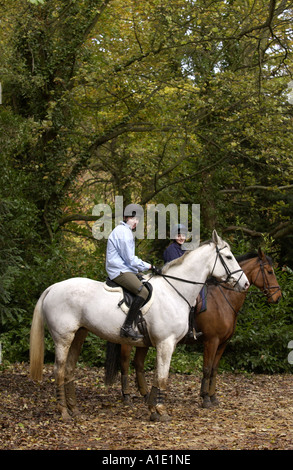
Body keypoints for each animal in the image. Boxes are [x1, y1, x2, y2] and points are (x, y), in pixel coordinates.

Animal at [29, 231, 249, 422]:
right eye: (228, 257)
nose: (245, 283)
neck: (174, 291)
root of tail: (52, 288)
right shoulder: (167, 343)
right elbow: (163, 378)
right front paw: (161, 411)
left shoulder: (163, 344)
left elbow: (158, 377)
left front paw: (153, 409)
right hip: (63, 338)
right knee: (59, 371)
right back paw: (64, 412)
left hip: (79, 335)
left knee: (69, 369)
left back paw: (75, 410)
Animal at [105, 250, 280, 408]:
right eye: (269, 271)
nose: (277, 296)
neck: (223, 300)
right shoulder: (211, 341)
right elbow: (207, 369)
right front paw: (206, 398)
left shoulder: (223, 343)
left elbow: (214, 369)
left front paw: (213, 397)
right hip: (127, 341)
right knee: (125, 364)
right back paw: (127, 396)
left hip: (145, 341)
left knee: (139, 364)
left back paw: (146, 395)